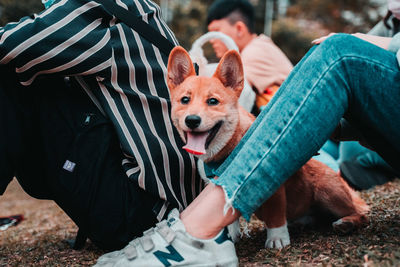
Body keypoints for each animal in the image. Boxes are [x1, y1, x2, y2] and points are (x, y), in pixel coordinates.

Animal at [166, 47, 368, 250]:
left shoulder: (270, 183)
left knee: (361, 213)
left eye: (213, 101)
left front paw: (277, 238)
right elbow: (228, 218)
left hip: (328, 192)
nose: (192, 120)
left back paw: (346, 222)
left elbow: (275, 214)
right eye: (185, 100)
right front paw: (232, 236)